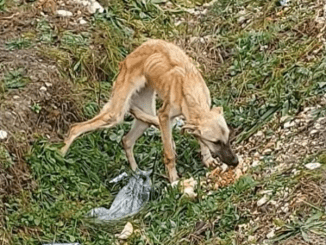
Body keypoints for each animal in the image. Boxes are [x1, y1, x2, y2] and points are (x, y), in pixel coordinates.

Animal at [59, 39, 238, 183]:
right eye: (216, 142)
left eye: (228, 138)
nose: (236, 162)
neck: (189, 86)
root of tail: (127, 58)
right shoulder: (164, 115)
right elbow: (169, 154)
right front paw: (174, 179)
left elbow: (198, 139)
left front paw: (207, 159)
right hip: (115, 114)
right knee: (75, 128)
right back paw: (59, 155)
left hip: (142, 113)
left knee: (127, 140)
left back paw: (136, 173)